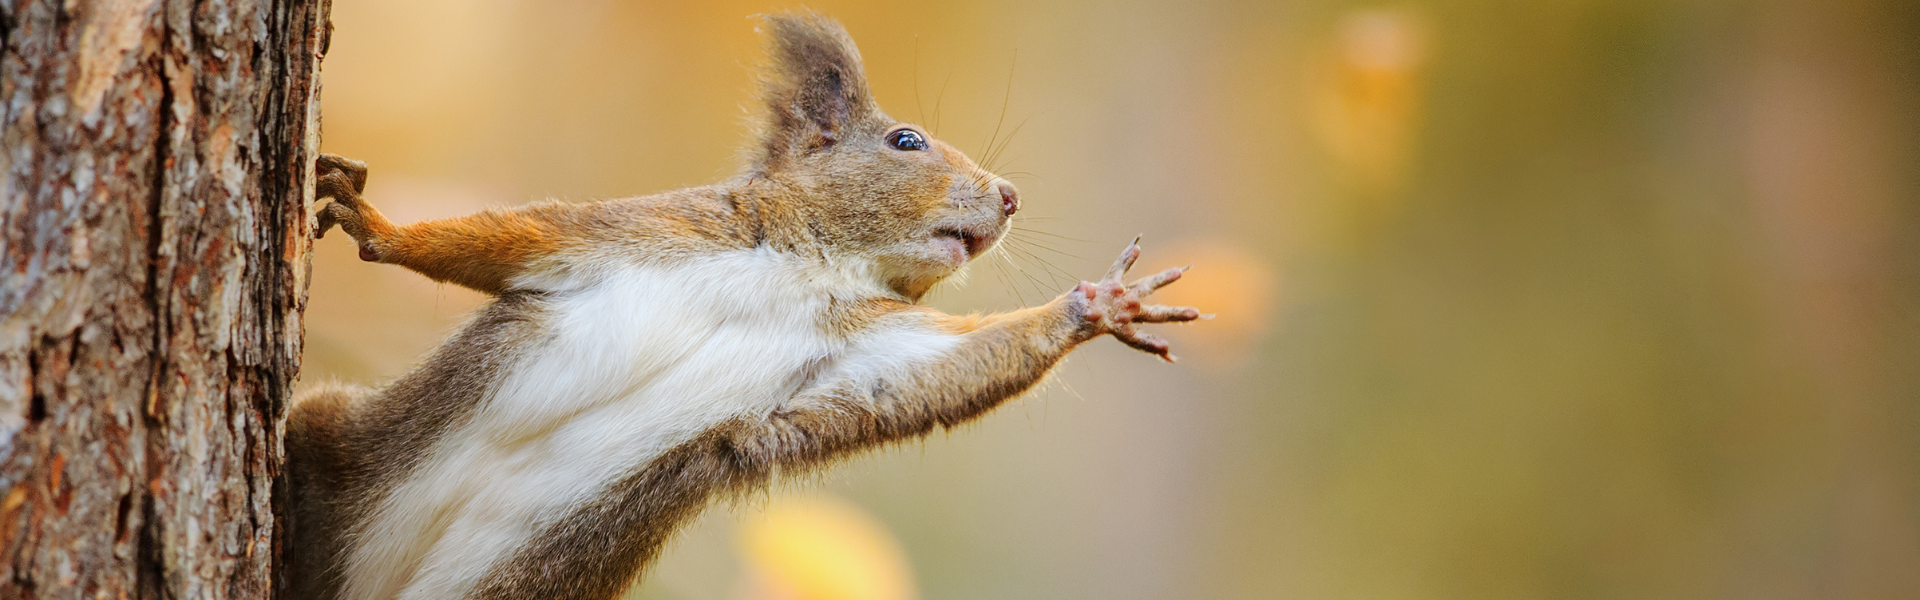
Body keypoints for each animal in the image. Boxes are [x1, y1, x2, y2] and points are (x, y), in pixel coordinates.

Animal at [288, 12, 1198, 600]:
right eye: (905, 140)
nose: (1009, 197)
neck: (807, 268)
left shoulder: (858, 352)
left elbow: (949, 371)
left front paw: (1098, 305)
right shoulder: (642, 232)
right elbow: (509, 238)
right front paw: (379, 227)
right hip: (332, 446)